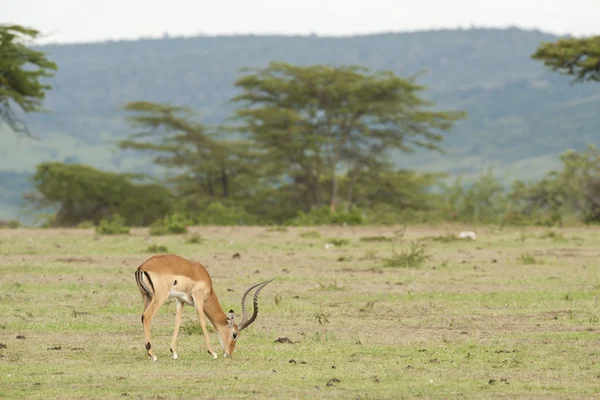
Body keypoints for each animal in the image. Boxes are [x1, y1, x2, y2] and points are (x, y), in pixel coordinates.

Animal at [135, 255, 274, 360]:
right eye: (235, 334)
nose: (229, 353)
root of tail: (142, 266)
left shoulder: (180, 301)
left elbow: (177, 322)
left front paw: (173, 352)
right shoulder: (199, 298)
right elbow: (202, 322)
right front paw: (212, 352)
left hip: (147, 297)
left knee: (142, 317)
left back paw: (148, 354)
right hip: (160, 297)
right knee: (146, 316)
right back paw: (152, 355)